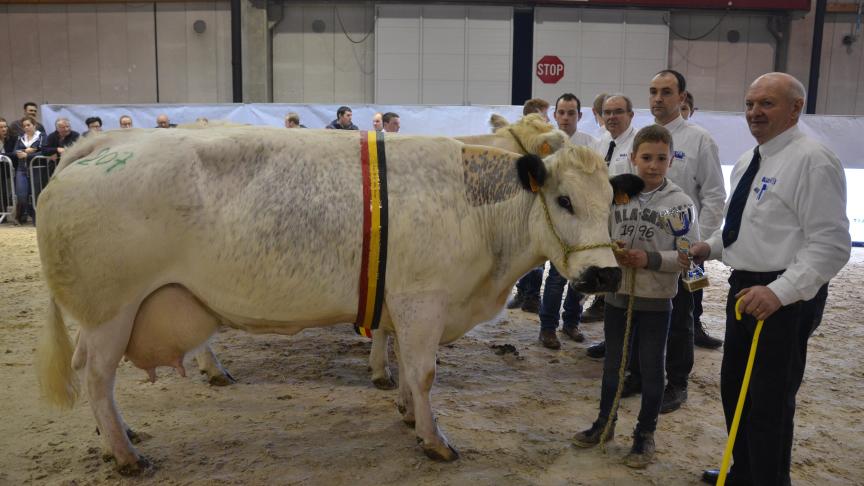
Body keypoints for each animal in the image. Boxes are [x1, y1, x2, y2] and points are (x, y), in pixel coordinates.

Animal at [36, 127, 635, 475]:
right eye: (563, 199)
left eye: (612, 203)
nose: (605, 272)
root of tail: (99, 148)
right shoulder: (423, 300)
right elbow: (424, 372)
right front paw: (434, 439)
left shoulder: (401, 305)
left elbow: (404, 365)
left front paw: (405, 412)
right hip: (110, 310)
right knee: (96, 376)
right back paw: (126, 454)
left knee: (92, 374)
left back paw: (118, 435)